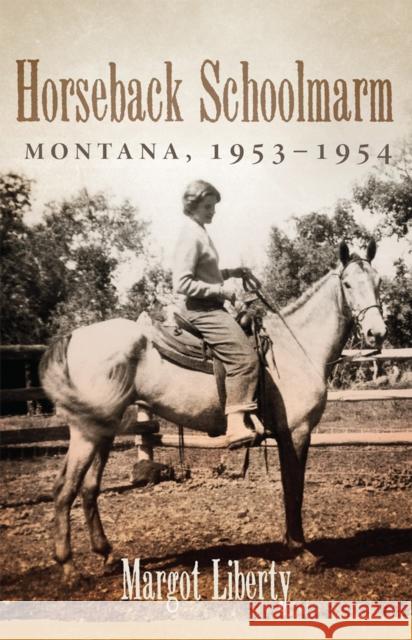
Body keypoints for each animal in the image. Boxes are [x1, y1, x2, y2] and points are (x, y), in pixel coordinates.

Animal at [39, 240, 386, 580]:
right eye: (347, 284)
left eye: (379, 282)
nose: (377, 333)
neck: (296, 347)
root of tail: (73, 337)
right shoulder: (296, 434)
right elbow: (294, 489)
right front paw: (301, 550)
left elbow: (290, 488)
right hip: (86, 432)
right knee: (65, 489)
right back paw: (68, 567)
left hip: (103, 430)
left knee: (87, 488)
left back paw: (106, 555)